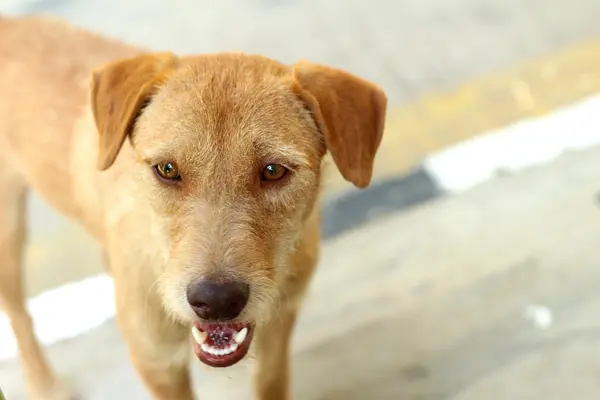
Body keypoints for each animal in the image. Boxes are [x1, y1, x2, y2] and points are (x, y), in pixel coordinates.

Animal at [0, 14, 386, 398]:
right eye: (168, 169)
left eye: (274, 170)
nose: (216, 302)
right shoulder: (157, 363)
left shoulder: (279, 329)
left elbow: (269, 381)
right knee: (19, 315)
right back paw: (44, 383)